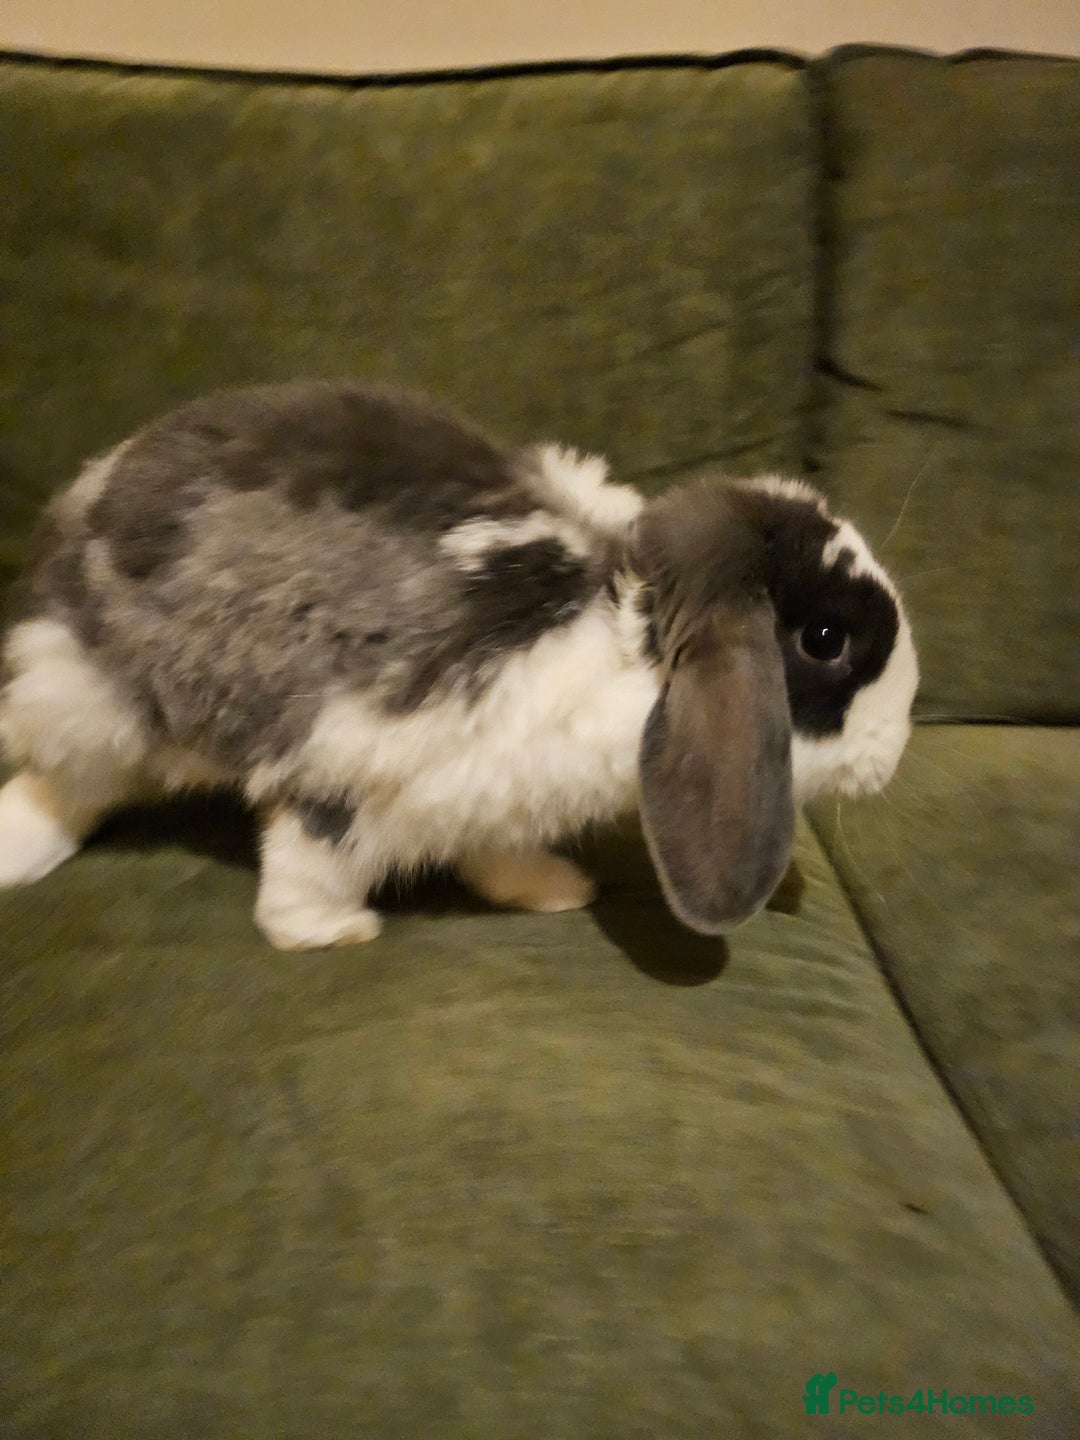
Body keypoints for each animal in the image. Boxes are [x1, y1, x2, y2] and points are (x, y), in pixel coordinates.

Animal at [0, 381, 918, 948]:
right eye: (825, 640)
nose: (896, 751)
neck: (628, 637)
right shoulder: (350, 765)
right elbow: (307, 861)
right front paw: (326, 933)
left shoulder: (483, 793)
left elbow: (495, 851)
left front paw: (554, 889)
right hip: (102, 705)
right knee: (63, 784)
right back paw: (20, 852)